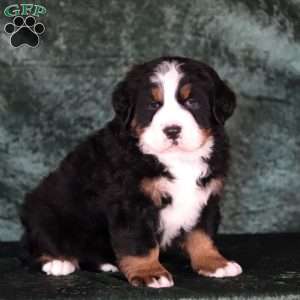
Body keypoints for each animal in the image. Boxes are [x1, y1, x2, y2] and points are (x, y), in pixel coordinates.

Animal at [19, 56, 241, 288]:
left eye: (192, 102)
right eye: (153, 105)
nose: (172, 130)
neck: (177, 159)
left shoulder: (207, 197)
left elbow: (202, 234)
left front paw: (214, 263)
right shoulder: (131, 202)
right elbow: (139, 242)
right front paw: (149, 273)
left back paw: (105, 264)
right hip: (44, 211)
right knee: (32, 246)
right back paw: (57, 261)